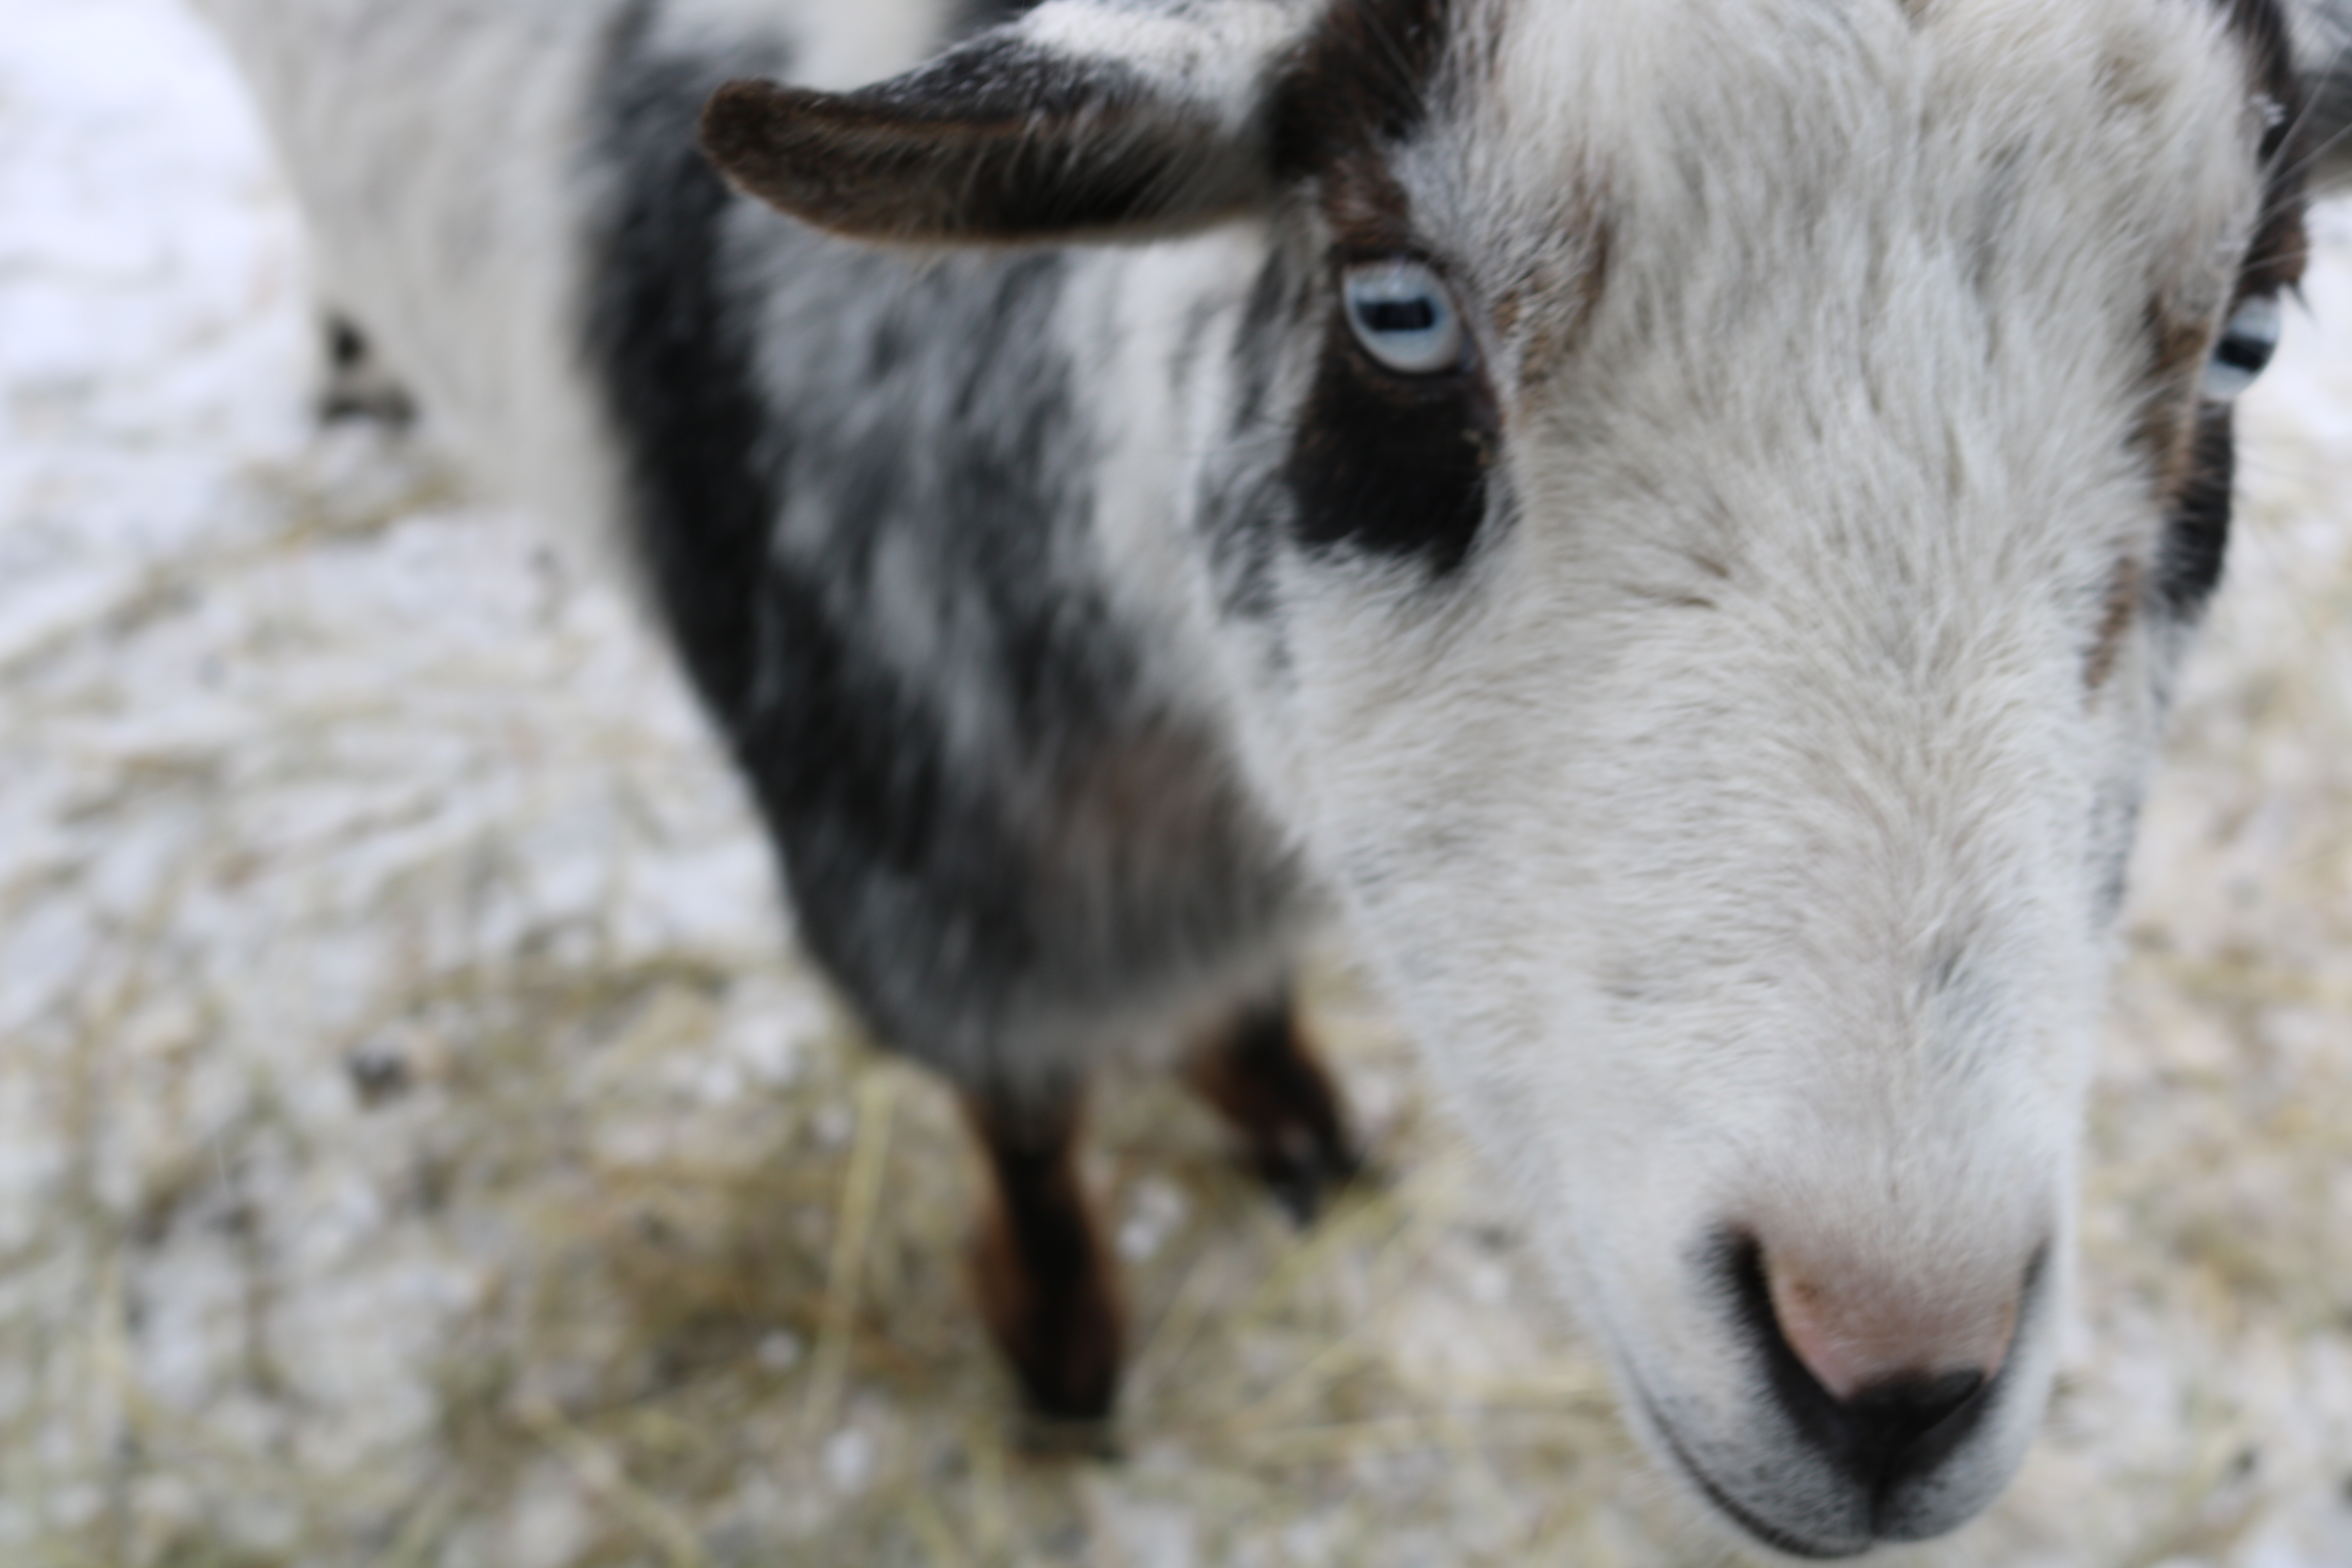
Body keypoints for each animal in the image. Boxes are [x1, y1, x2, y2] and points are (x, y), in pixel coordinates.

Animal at [193, 0, 2352, 1552]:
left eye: (2248, 335)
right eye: (1394, 310)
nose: (1892, 1368)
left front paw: (1294, 1119)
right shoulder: (918, 841)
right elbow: (1028, 1111)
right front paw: (1065, 1347)